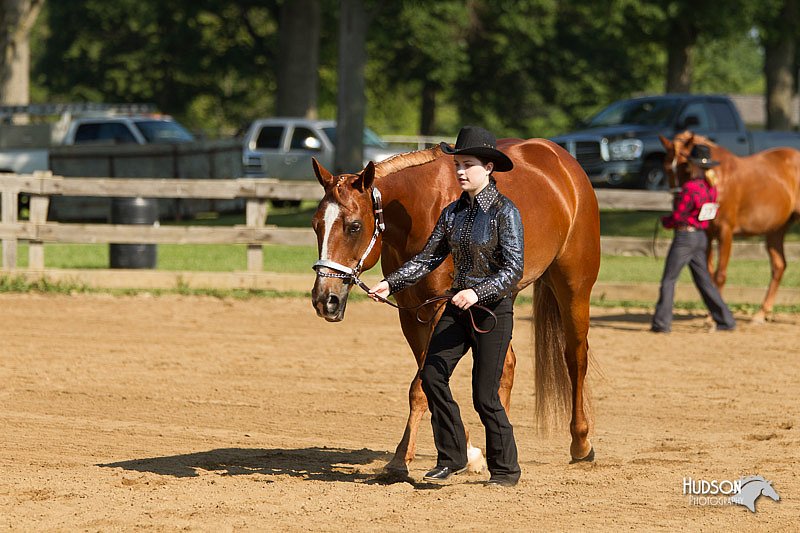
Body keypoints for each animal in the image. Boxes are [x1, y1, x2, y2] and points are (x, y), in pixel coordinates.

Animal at [310, 140, 596, 474]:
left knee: (575, 358)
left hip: (574, 288)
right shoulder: (412, 313)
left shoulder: (439, 309)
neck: (420, 208)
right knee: (506, 366)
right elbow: (429, 382)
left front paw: (400, 458)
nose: (324, 299)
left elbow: (420, 387)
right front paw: (469, 453)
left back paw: (581, 444)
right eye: (316, 226)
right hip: (499, 297)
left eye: (354, 226)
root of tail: (561, 159)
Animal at [660, 131, 800, 322]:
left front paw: (713, 319)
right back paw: (760, 314)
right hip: (775, 230)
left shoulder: (725, 232)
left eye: (685, 167)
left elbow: (720, 274)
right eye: (667, 168)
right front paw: (712, 313)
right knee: (779, 266)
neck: (718, 177)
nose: (678, 204)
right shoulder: (708, 234)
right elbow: (709, 274)